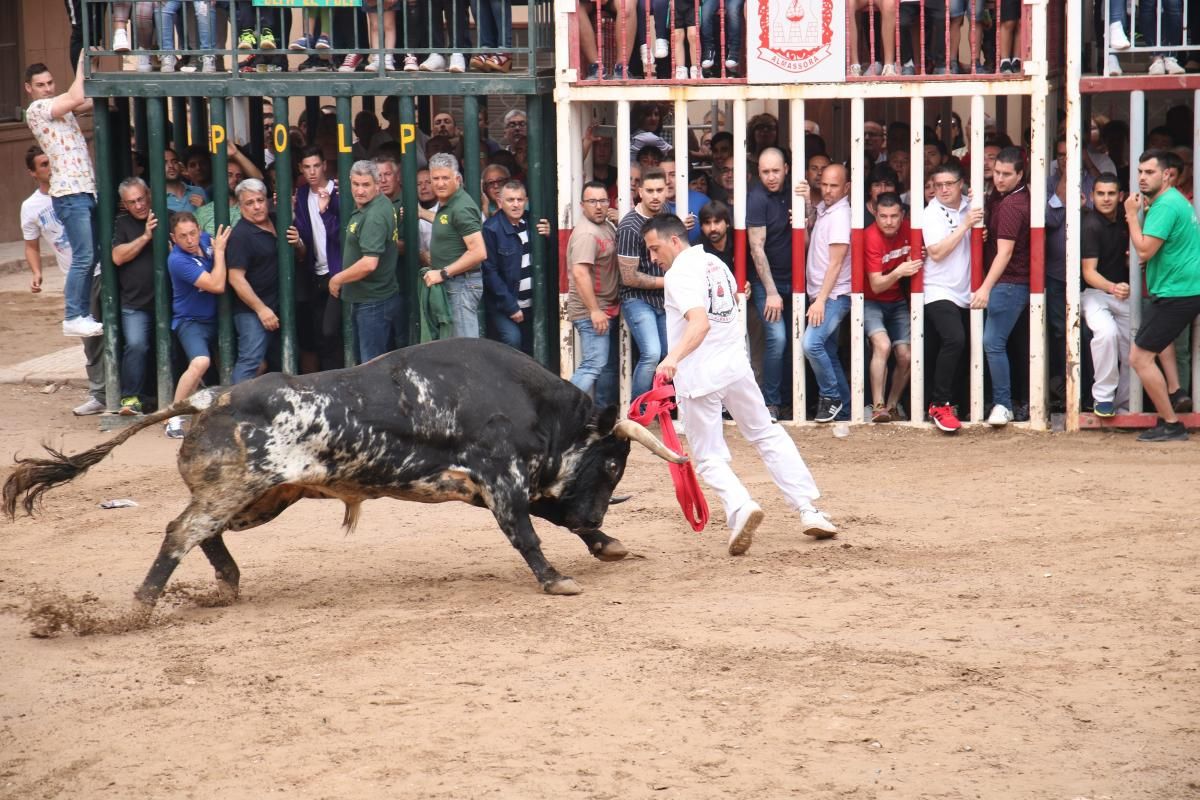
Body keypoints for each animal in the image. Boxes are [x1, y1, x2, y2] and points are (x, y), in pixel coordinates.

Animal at [2, 338, 686, 606]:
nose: (597, 510)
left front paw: (606, 543)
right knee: (181, 531)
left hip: (263, 500)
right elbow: (529, 533)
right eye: (613, 461)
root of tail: (208, 400)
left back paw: (227, 582)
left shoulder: (497, 488)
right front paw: (557, 579)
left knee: (201, 533)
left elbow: (552, 520)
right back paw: (145, 602)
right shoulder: (502, 483)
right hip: (240, 491)